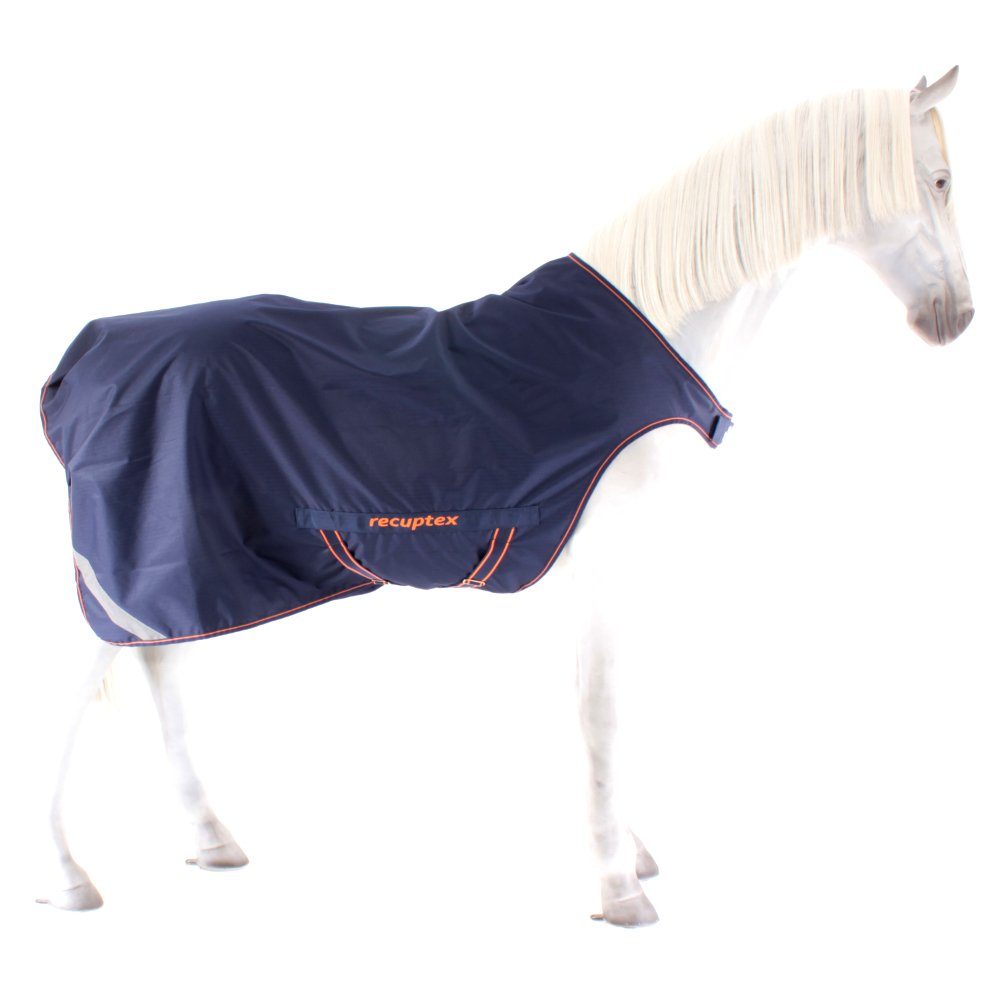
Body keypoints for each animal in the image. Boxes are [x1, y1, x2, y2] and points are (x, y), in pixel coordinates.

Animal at [37, 67, 974, 927]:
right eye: (938, 180)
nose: (956, 319)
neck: (645, 342)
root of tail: (88, 354)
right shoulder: (601, 563)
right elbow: (602, 712)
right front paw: (617, 887)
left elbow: (612, 705)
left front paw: (627, 850)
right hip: (131, 566)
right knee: (61, 693)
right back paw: (67, 880)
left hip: (180, 568)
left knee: (159, 665)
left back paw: (209, 840)